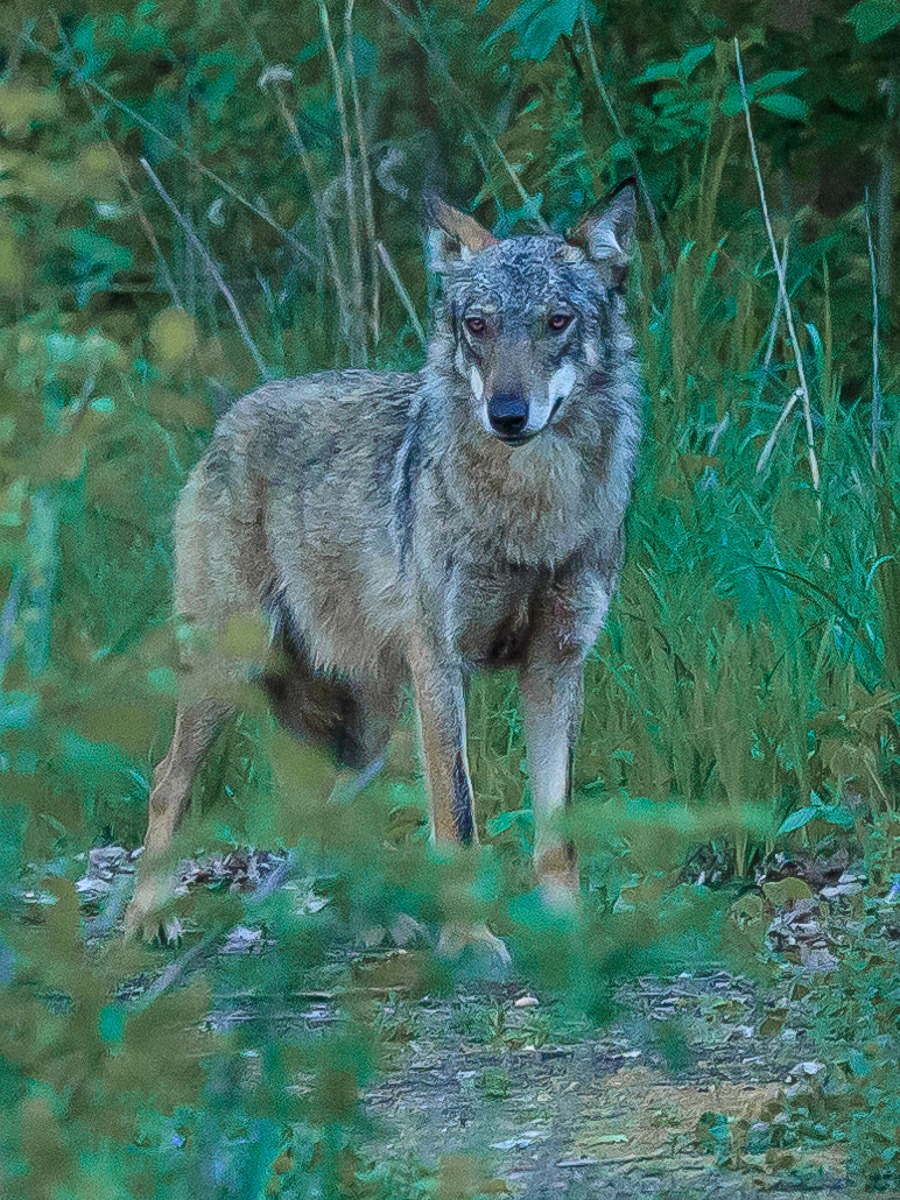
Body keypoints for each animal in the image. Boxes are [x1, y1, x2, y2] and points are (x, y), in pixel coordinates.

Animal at [125, 181, 642, 950]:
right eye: (478, 325)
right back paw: (147, 917)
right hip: (235, 669)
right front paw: (471, 944)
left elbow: (558, 836)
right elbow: (457, 817)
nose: (508, 414)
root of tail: (231, 414)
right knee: (167, 783)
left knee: (324, 813)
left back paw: (374, 923)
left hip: (369, 717)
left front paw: (567, 940)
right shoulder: (442, 662)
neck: (532, 511)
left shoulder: (556, 665)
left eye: (556, 321)